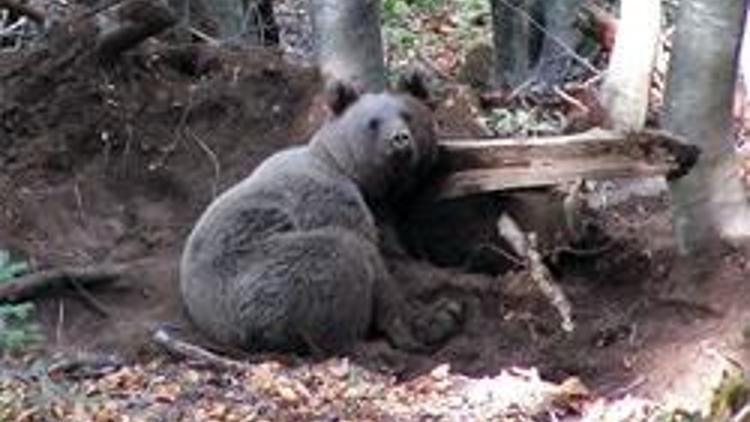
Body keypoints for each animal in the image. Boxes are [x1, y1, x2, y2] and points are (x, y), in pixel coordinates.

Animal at [181, 74, 464, 354]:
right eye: (373, 123)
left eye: (408, 115)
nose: (400, 140)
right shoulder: (328, 200)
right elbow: (375, 263)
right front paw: (431, 319)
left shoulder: (381, 212)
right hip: (256, 274)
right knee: (341, 255)